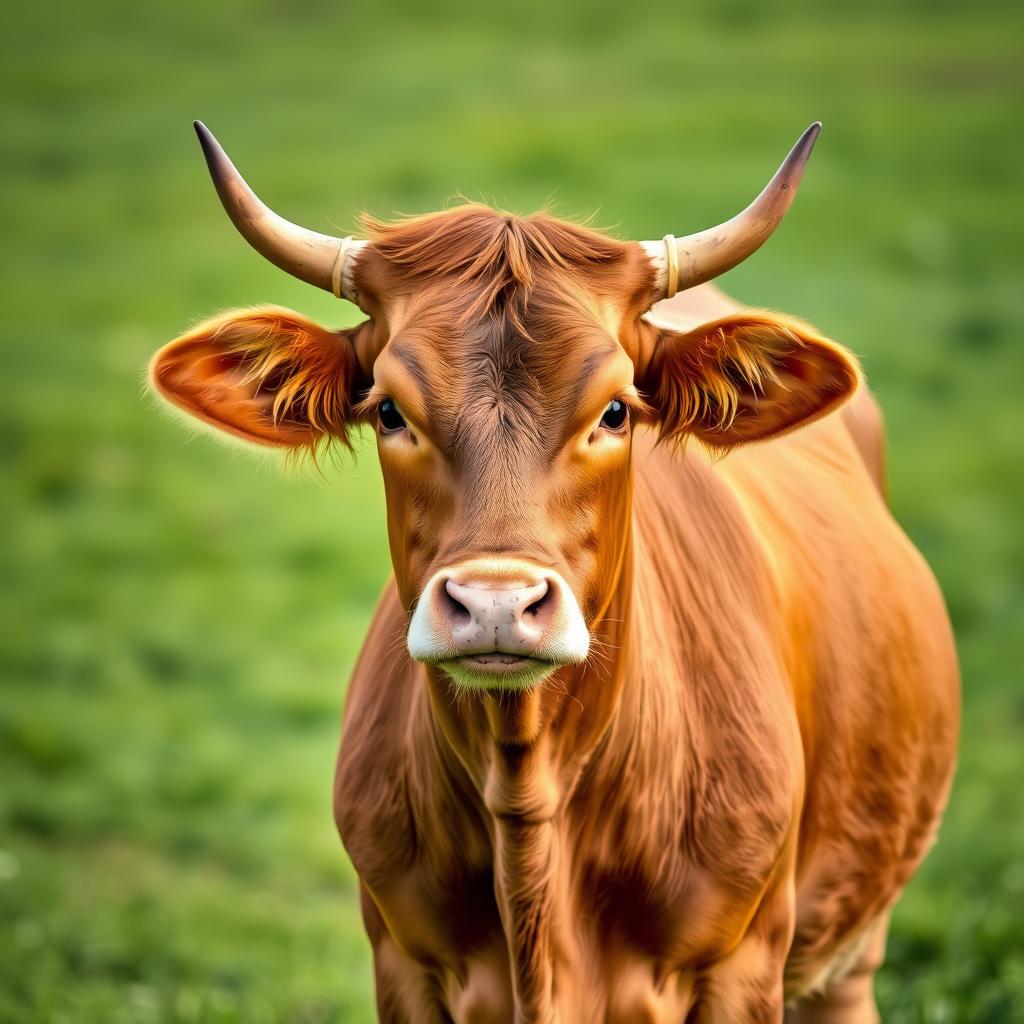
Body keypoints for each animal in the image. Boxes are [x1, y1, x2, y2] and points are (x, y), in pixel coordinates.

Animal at [151, 123, 958, 1019]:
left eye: (615, 411)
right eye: (389, 411)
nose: (496, 605)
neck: (528, 808)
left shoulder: (744, 965)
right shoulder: (400, 964)